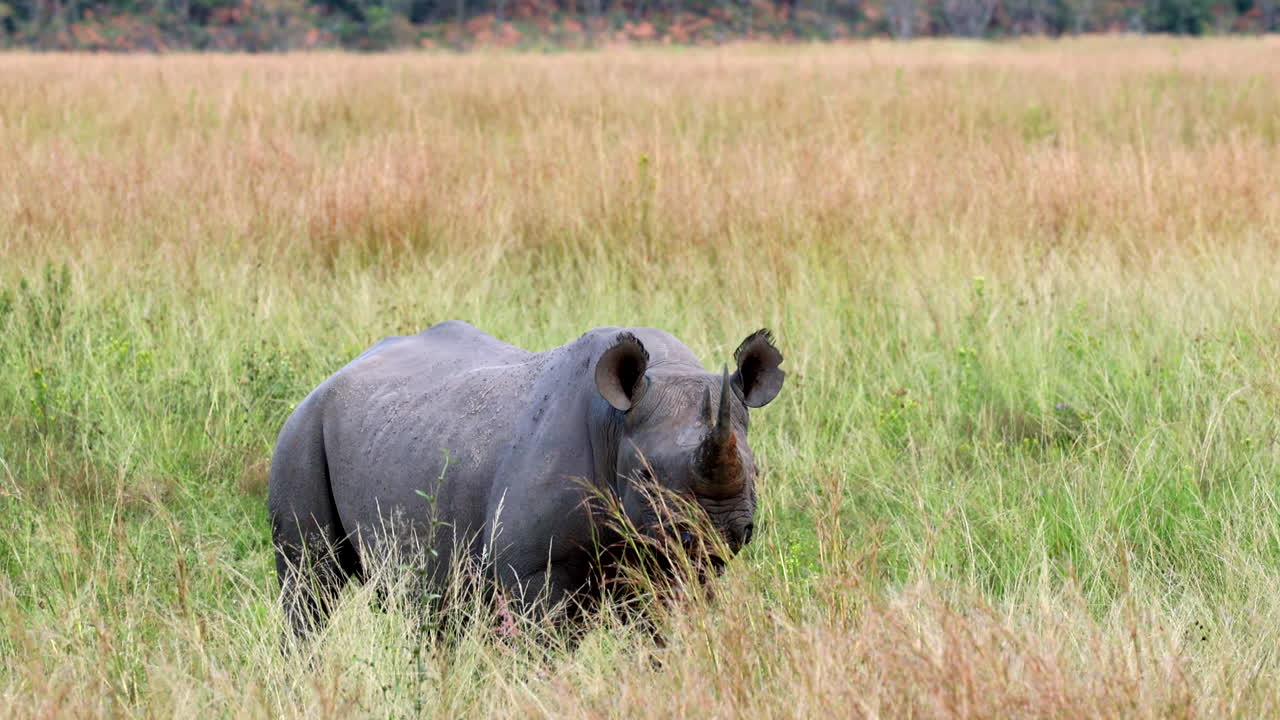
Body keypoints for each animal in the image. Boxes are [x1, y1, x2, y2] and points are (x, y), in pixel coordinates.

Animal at [268, 321, 784, 637]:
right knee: (310, 581)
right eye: (645, 474)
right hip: (302, 429)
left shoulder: (674, 559)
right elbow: (543, 642)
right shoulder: (534, 568)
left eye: (756, 470)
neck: (616, 424)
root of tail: (339, 370)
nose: (720, 529)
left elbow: (659, 633)